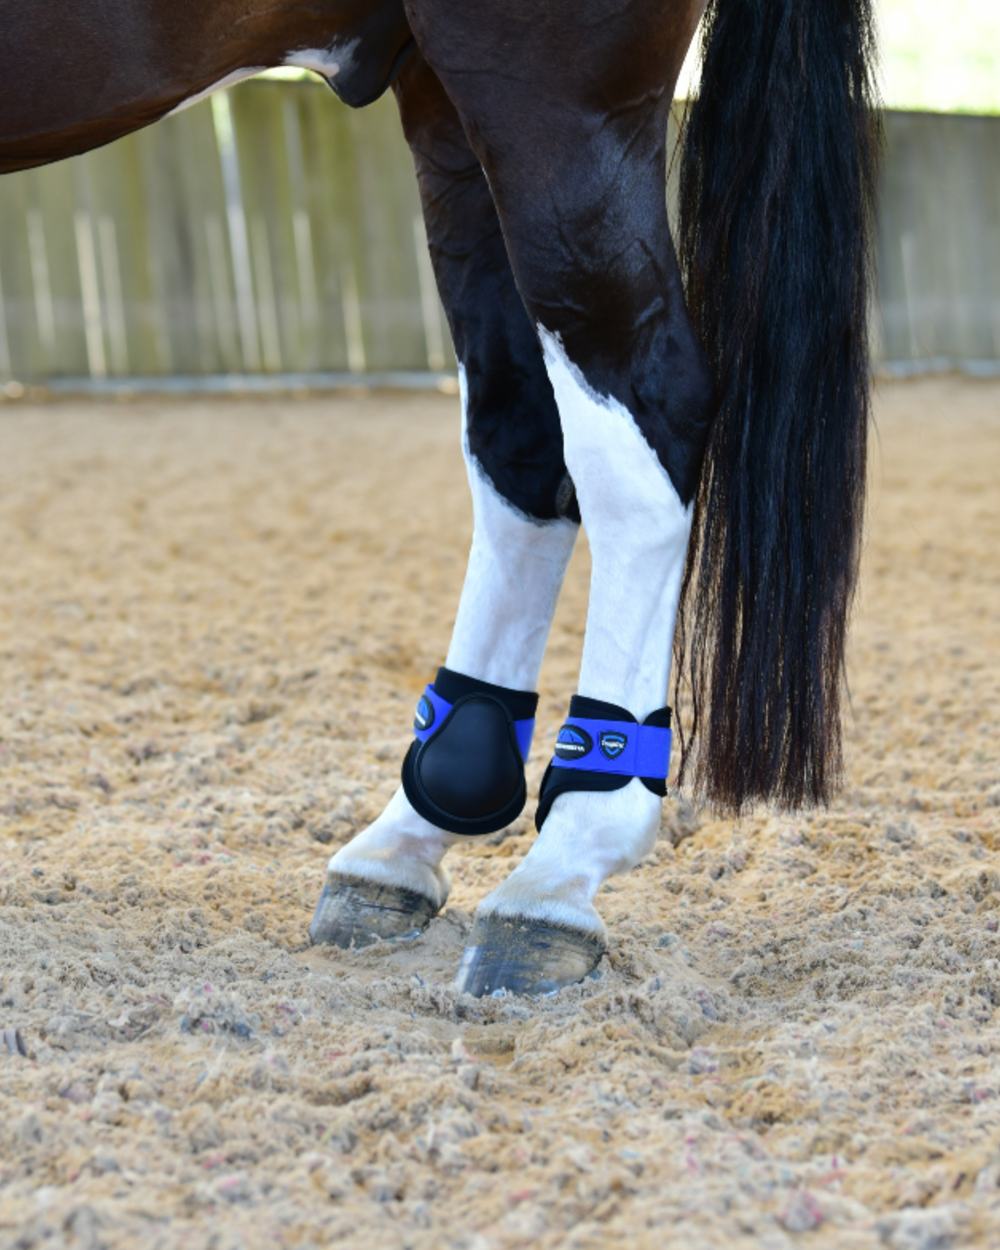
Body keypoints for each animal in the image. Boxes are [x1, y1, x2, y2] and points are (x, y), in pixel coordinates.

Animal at [0, 1, 880, 996]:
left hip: (554, 98)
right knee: (522, 433)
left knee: (644, 418)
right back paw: (408, 837)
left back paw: (562, 867)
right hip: (447, 110)